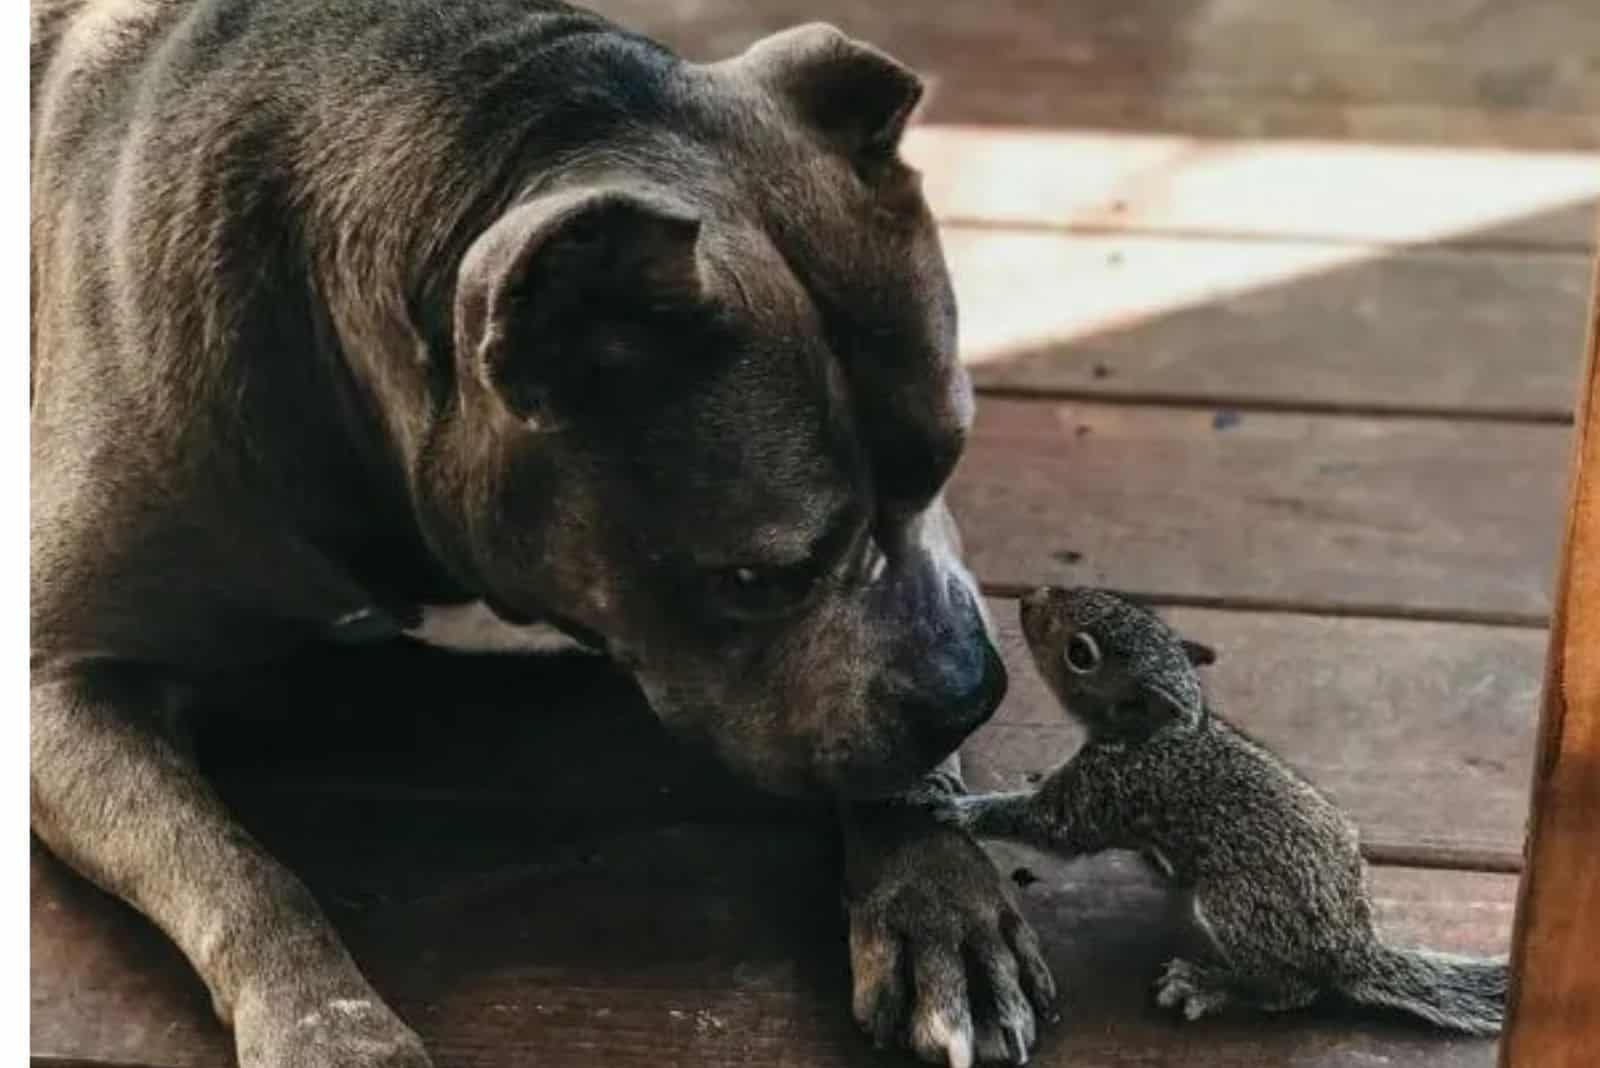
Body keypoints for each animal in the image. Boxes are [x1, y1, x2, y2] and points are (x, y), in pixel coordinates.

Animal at [31, 2, 1056, 1068]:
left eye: (949, 461)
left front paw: (939, 899)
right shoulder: (62, 682)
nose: (972, 691)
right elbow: (239, 874)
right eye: (752, 580)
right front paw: (331, 1027)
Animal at [940, 585, 1504, 1036]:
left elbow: (1050, 826)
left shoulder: (1106, 790)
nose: (1030, 599)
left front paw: (955, 807)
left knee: (1290, 990)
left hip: (1239, 905)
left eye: (1081, 653)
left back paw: (1211, 984)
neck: (1157, 734)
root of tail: (1351, 949)